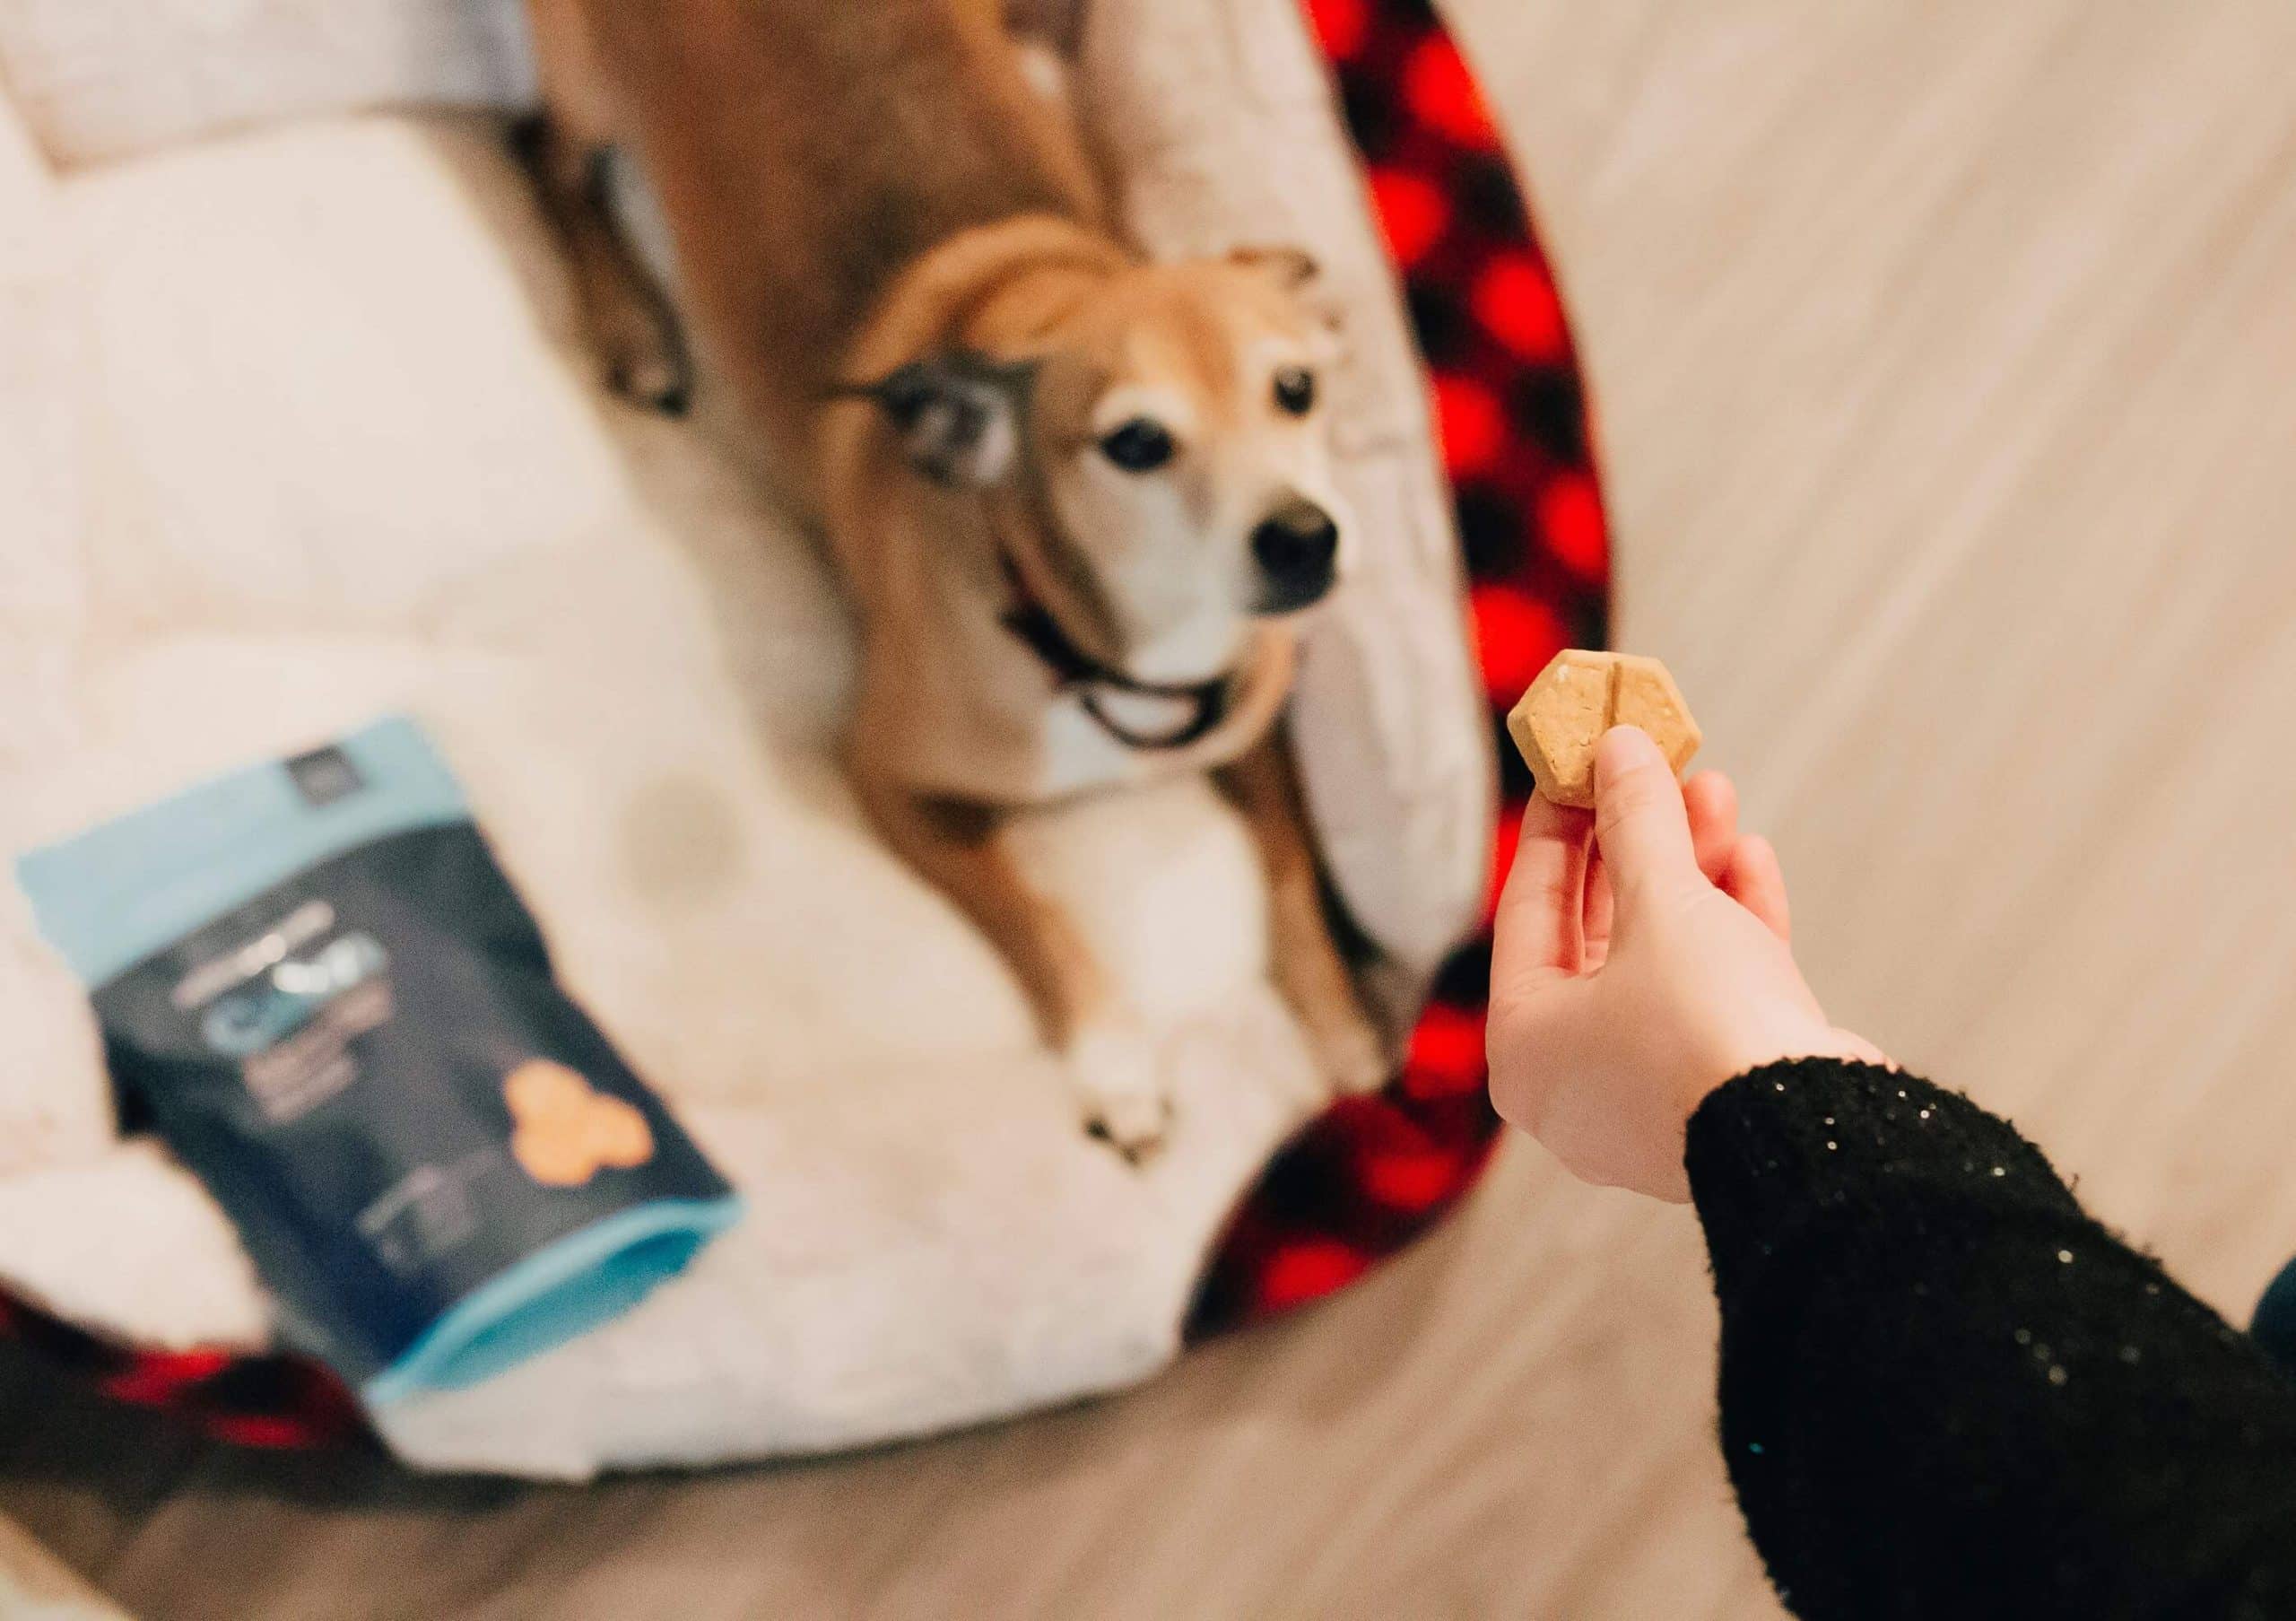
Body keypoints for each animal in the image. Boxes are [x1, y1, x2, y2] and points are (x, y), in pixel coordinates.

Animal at [518, 0, 1378, 1147]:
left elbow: (1290, 870)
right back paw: (632, 324)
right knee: (541, 150)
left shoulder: (1256, 735)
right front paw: (1113, 1058)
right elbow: (1031, 911)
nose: (1300, 537)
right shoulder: (890, 777)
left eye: (1294, 389)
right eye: (1135, 444)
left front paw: (1340, 1018)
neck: (1109, 654)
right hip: (587, 89)